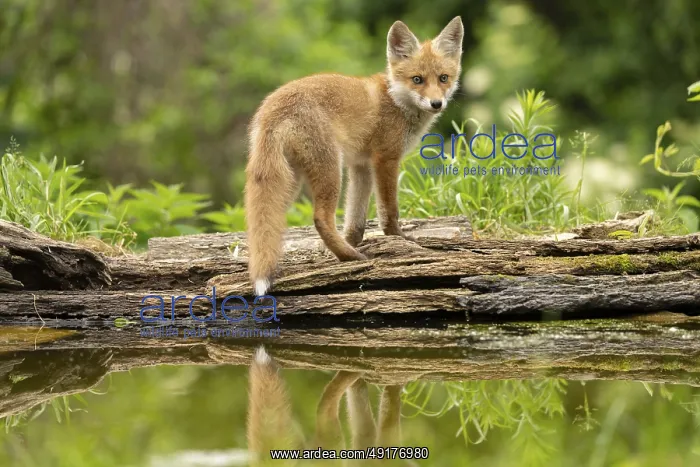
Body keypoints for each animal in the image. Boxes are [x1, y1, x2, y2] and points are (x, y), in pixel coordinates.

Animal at [245, 17, 465, 295]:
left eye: (443, 78)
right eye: (417, 79)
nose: (437, 104)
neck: (395, 101)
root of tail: (271, 108)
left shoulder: (361, 166)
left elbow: (355, 221)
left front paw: (348, 244)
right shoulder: (385, 159)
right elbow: (389, 211)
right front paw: (397, 238)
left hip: (288, 181)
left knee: (266, 226)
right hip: (330, 169)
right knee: (321, 219)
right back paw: (350, 258)